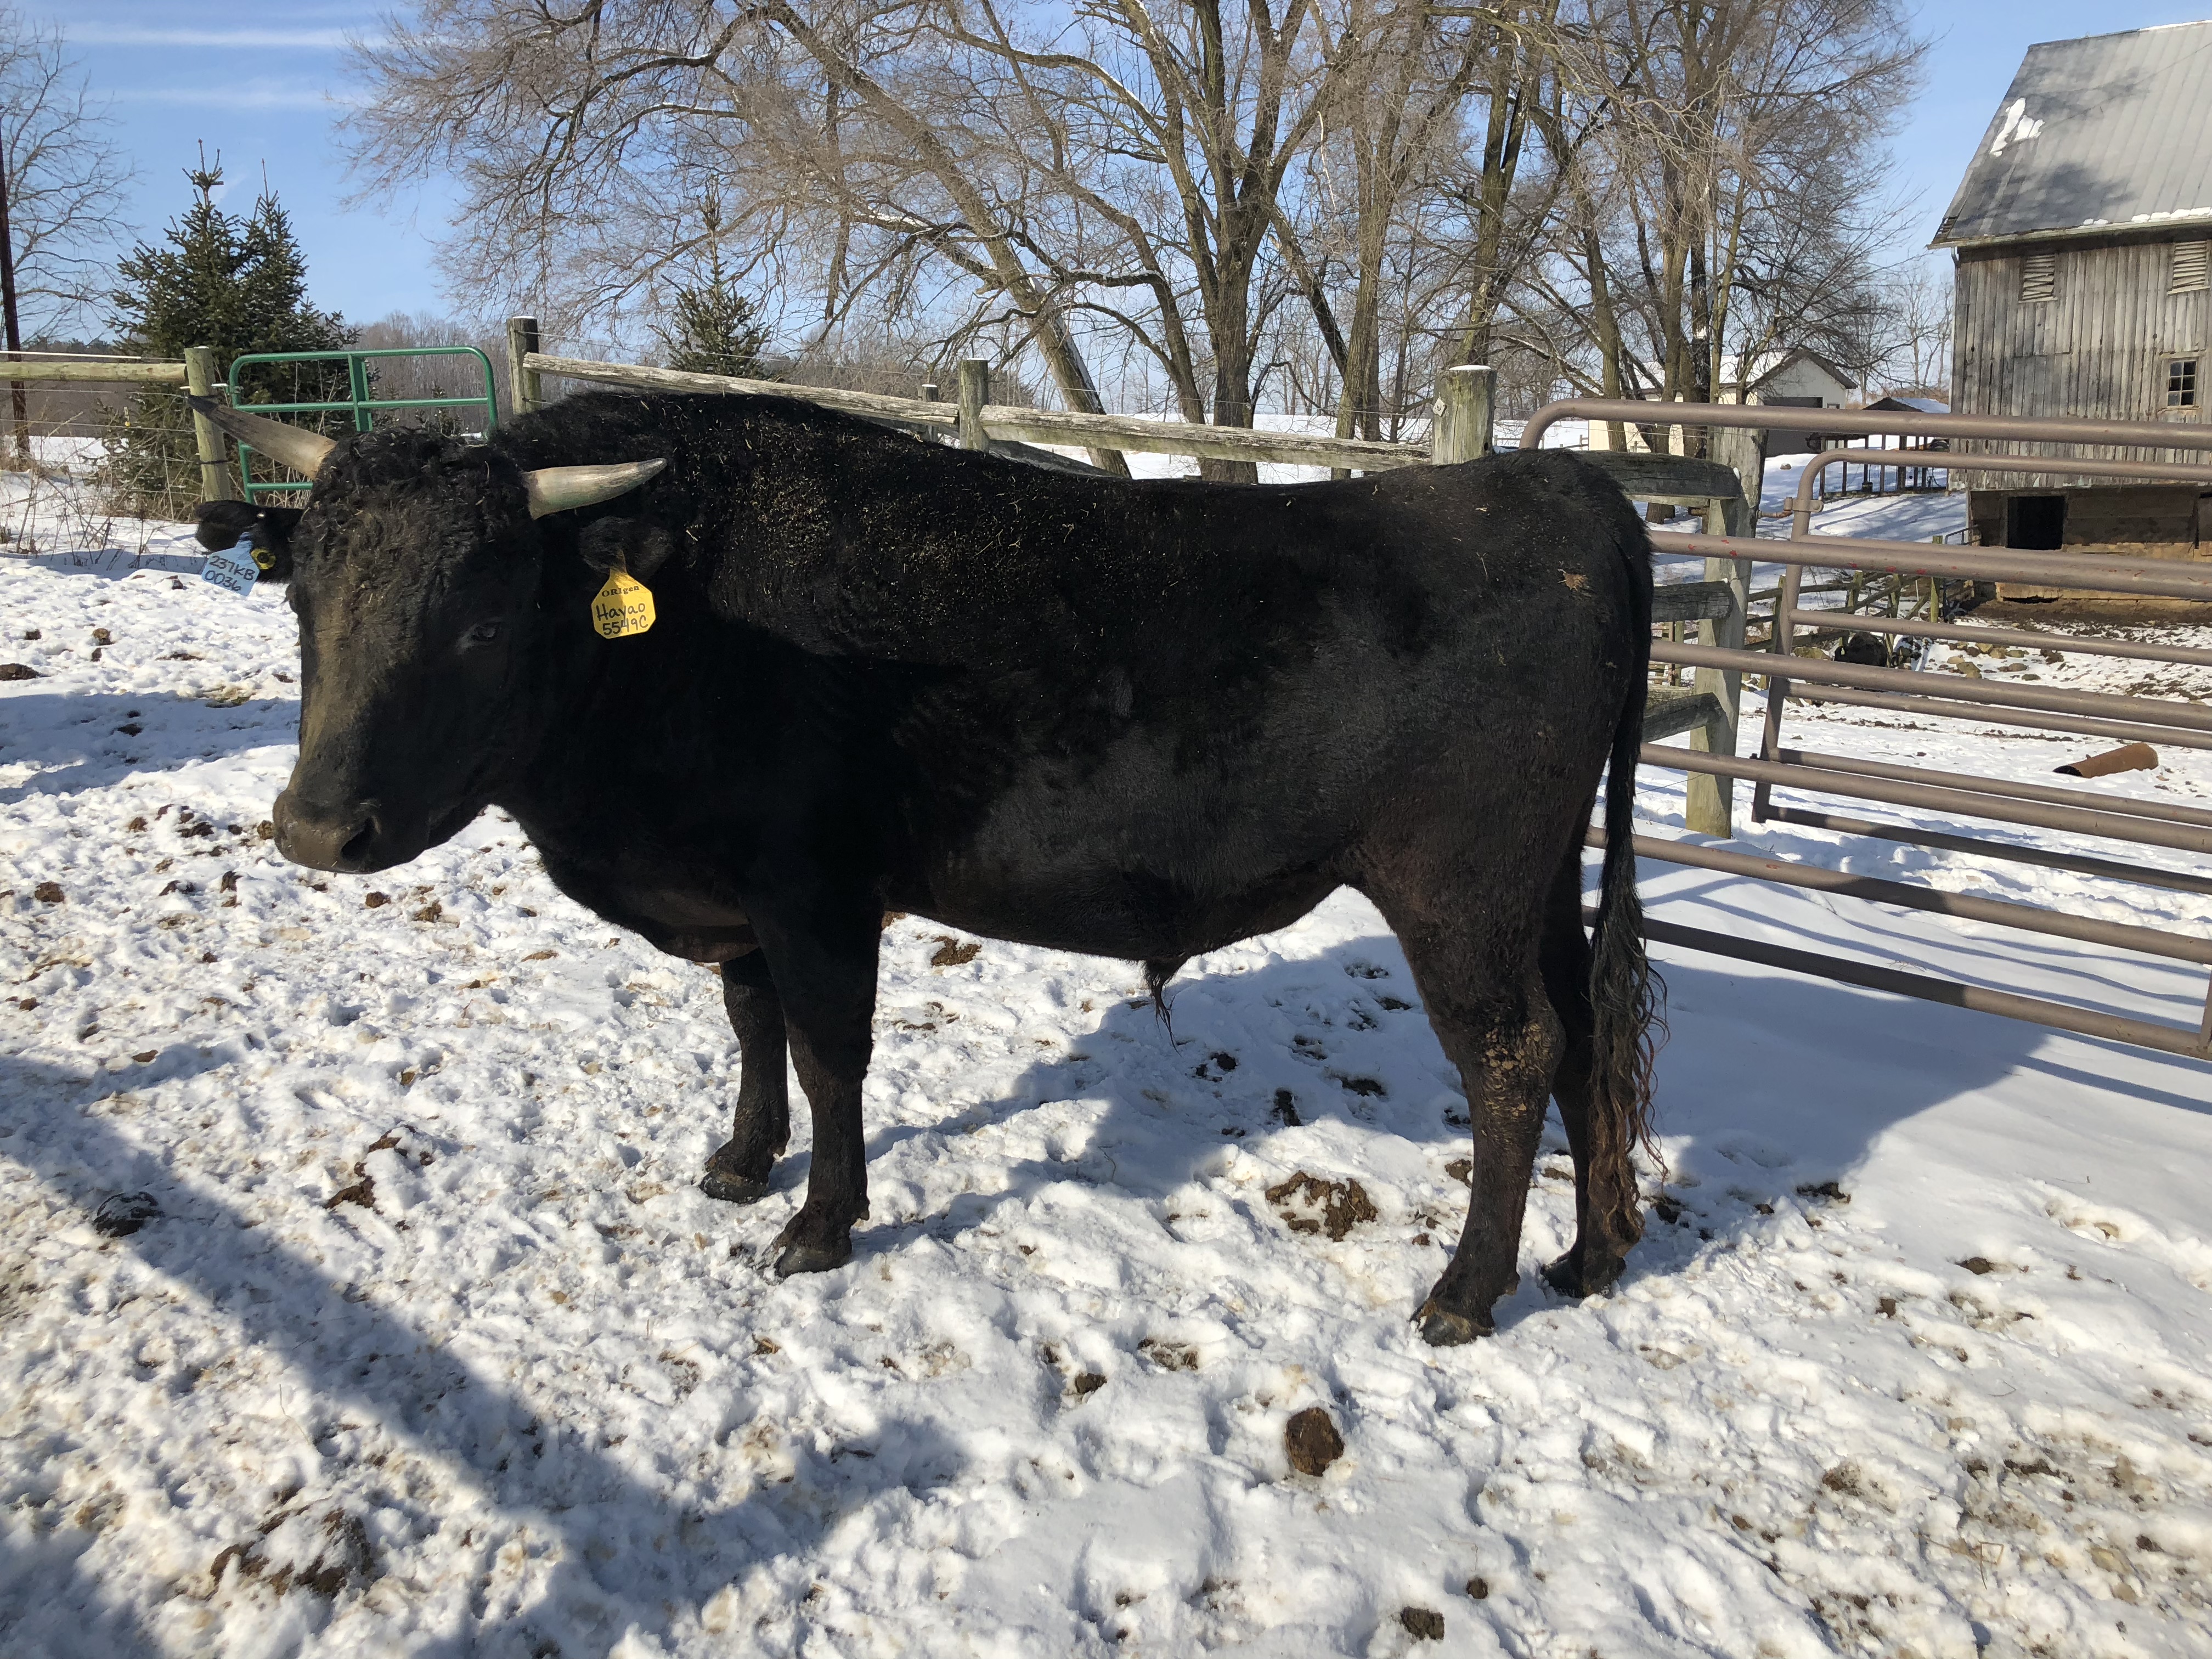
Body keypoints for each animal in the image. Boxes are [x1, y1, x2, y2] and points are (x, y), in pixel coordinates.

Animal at [190, 390, 1660, 1345]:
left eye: (484, 621)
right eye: (303, 597)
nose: (314, 829)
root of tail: (1552, 486)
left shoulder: (816, 891)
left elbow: (830, 1050)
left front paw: (817, 1227)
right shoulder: (738, 902)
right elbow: (753, 1028)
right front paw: (741, 1162)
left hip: (1459, 892)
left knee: (1514, 1058)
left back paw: (1465, 1295)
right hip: (1540, 886)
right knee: (1584, 1040)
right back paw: (1588, 1258)